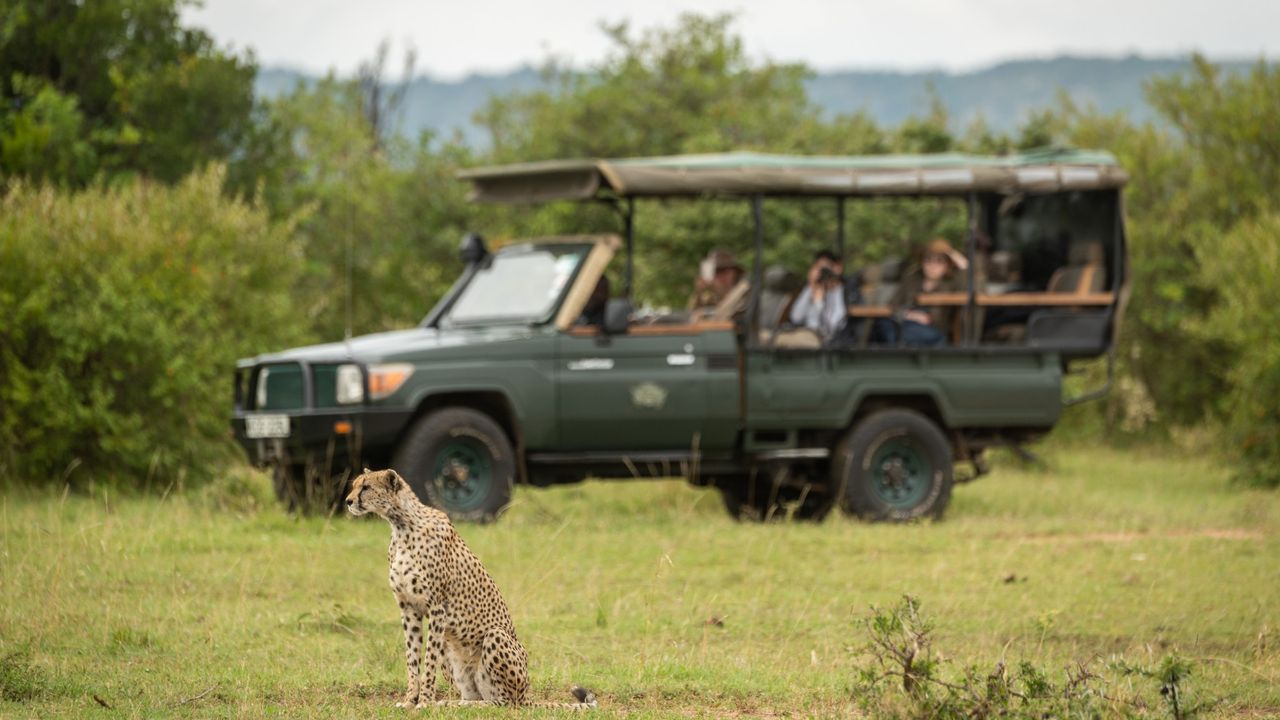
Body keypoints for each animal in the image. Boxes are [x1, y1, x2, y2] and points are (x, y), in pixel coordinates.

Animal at [345, 466, 593, 707]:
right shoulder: (408, 608)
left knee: (503, 702)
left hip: (495, 638)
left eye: (366, 487)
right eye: (355, 485)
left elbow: (428, 661)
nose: (348, 501)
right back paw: (451, 703)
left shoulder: (437, 608)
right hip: (453, 652)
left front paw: (423, 702)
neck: (401, 524)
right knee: (477, 696)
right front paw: (409, 701)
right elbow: (412, 658)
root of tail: (527, 695)